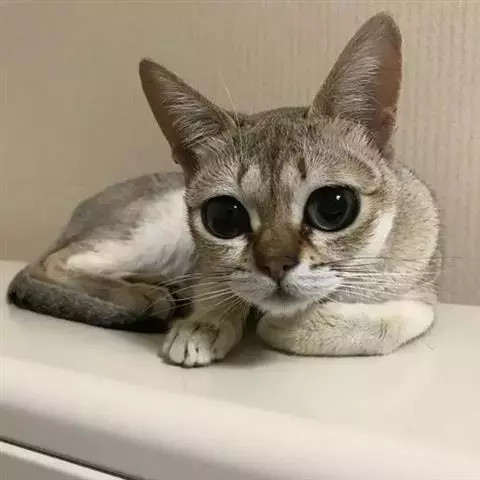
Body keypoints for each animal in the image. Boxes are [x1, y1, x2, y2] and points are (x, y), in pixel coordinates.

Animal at [8, 13, 441, 367]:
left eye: (333, 207)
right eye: (224, 217)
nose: (275, 265)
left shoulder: (423, 287)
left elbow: (401, 319)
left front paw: (291, 325)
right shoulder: (205, 260)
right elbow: (221, 286)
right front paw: (204, 324)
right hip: (155, 230)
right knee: (50, 263)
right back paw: (146, 296)